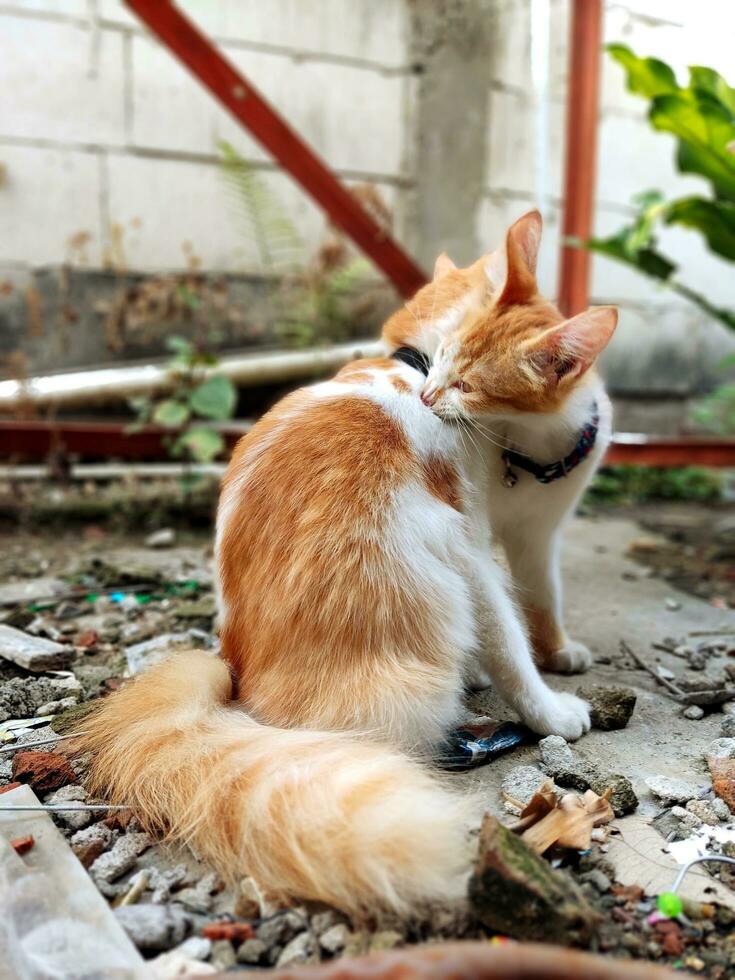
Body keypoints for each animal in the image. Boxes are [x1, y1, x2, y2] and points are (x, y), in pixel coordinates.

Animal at [79, 209, 616, 920]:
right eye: (448, 367)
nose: (433, 393)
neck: (407, 361)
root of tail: (235, 677)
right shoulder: (468, 548)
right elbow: (507, 639)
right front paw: (548, 710)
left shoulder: (527, 536)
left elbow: (542, 596)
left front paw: (556, 653)